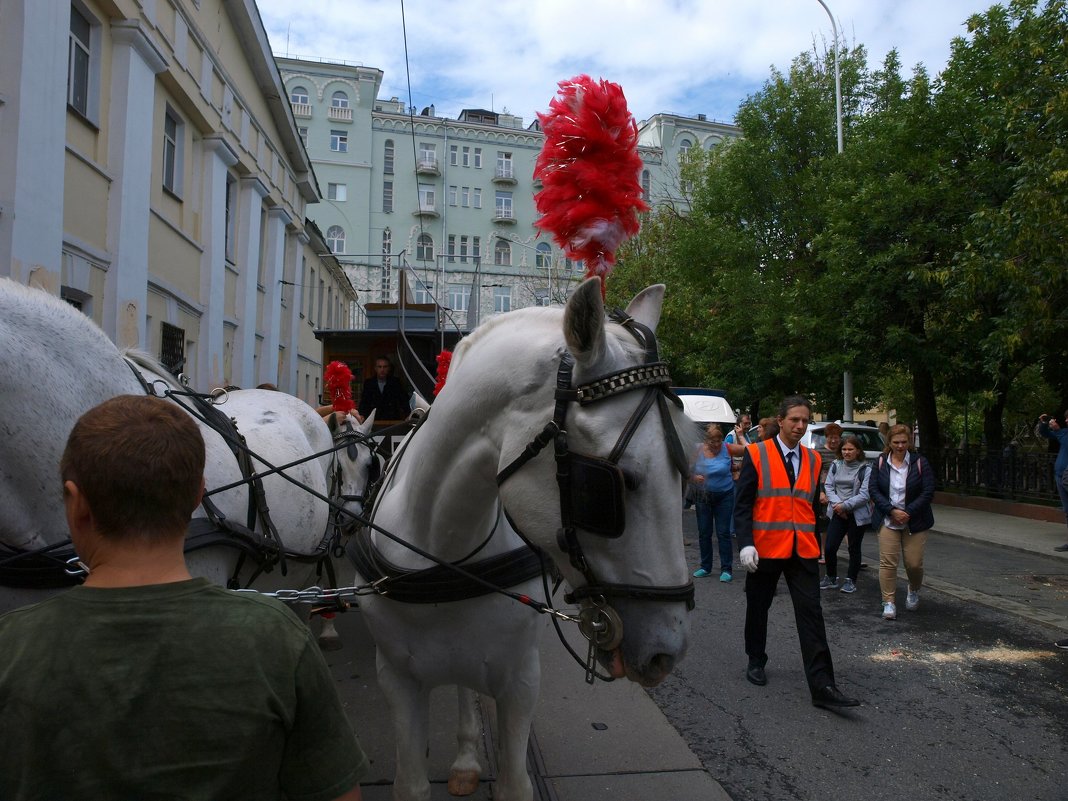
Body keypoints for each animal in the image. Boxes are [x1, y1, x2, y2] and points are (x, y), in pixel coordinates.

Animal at [356, 279, 692, 801]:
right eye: (608, 486)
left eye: (687, 470)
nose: (666, 652)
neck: (442, 551)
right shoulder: (396, 679)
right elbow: (410, 784)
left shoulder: (519, 682)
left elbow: (515, 782)